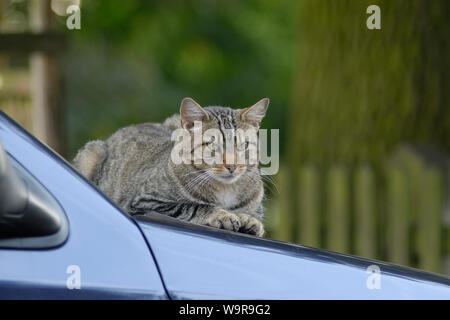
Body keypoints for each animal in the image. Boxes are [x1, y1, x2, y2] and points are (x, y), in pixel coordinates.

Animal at [73, 99, 268, 236]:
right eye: (212, 145)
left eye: (243, 145)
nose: (232, 166)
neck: (226, 189)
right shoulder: (144, 201)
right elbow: (192, 206)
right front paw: (222, 214)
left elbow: (254, 215)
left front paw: (249, 220)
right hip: (91, 153)